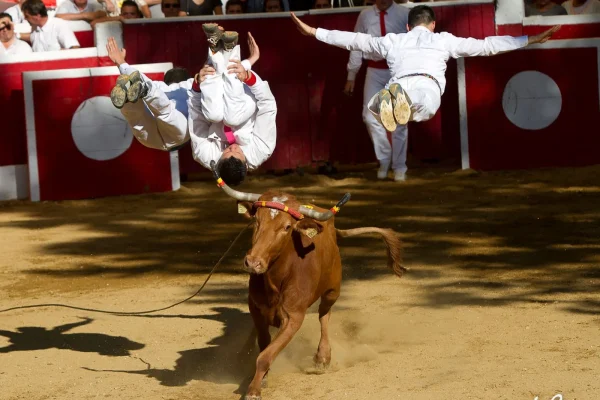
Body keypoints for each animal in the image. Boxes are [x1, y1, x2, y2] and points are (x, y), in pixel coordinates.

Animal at [209, 163, 406, 400]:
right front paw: (260, 376)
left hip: (333, 290)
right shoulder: (256, 308)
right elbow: (263, 343)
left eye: (287, 227)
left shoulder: (293, 318)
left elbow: (265, 355)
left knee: (324, 315)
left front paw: (254, 390)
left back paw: (323, 357)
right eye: (256, 220)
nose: (253, 262)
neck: (276, 281)